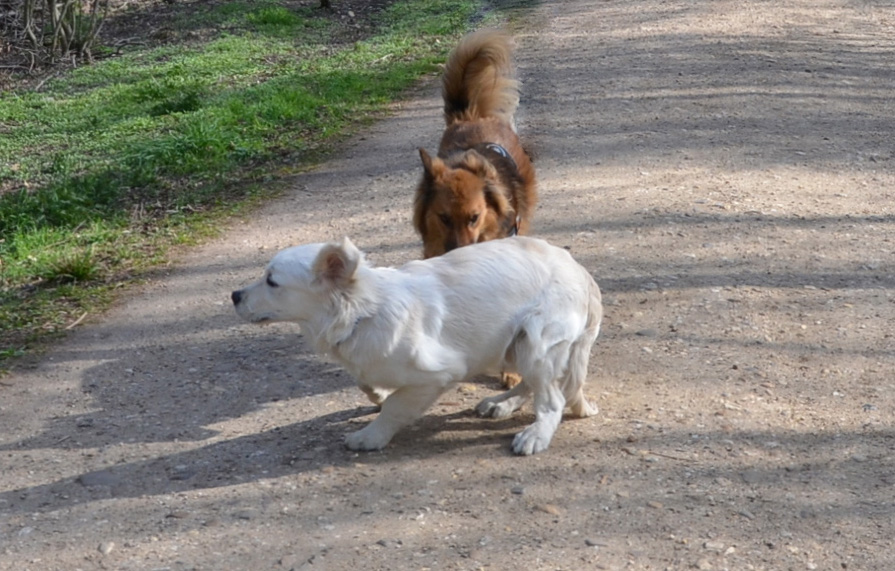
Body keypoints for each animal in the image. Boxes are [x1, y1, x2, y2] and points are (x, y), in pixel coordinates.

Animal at [234, 235, 604, 454]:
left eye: (271, 281)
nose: (234, 295)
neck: (363, 311)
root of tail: (579, 270)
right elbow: (367, 382)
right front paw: (376, 394)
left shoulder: (440, 373)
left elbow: (396, 406)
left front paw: (371, 436)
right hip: (512, 345)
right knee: (532, 384)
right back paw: (501, 403)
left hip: (535, 341)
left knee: (553, 399)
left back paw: (536, 434)